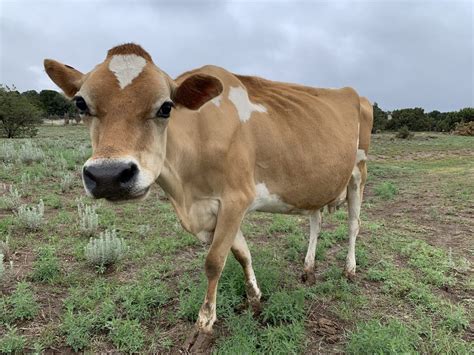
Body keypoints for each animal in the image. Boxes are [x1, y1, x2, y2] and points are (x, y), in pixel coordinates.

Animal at [43, 44, 370, 354]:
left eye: (166, 107)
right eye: (81, 103)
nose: (108, 175)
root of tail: (354, 93)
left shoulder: (236, 199)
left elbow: (214, 261)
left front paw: (204, 324)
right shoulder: (213, 208)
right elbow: (242, 254)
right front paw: (255, 298)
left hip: (359, 171)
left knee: (354, 225)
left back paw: (350, 270)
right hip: (316, 183)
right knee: (315, 220)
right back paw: (308, 269)